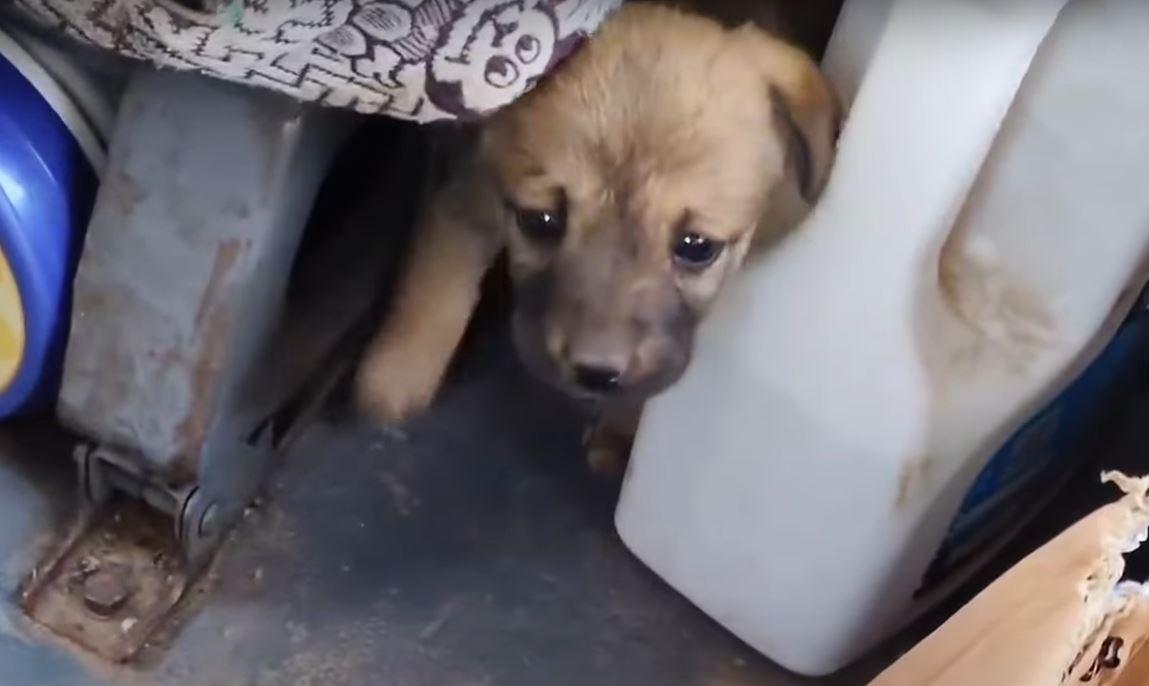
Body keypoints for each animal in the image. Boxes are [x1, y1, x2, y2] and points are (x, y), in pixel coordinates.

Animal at [353, 1, 841, 471]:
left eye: (698, 247)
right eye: (540, 220)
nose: (595, 374)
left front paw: (622, 428)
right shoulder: (473, 189)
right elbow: (436, 282)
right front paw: (393, 377)